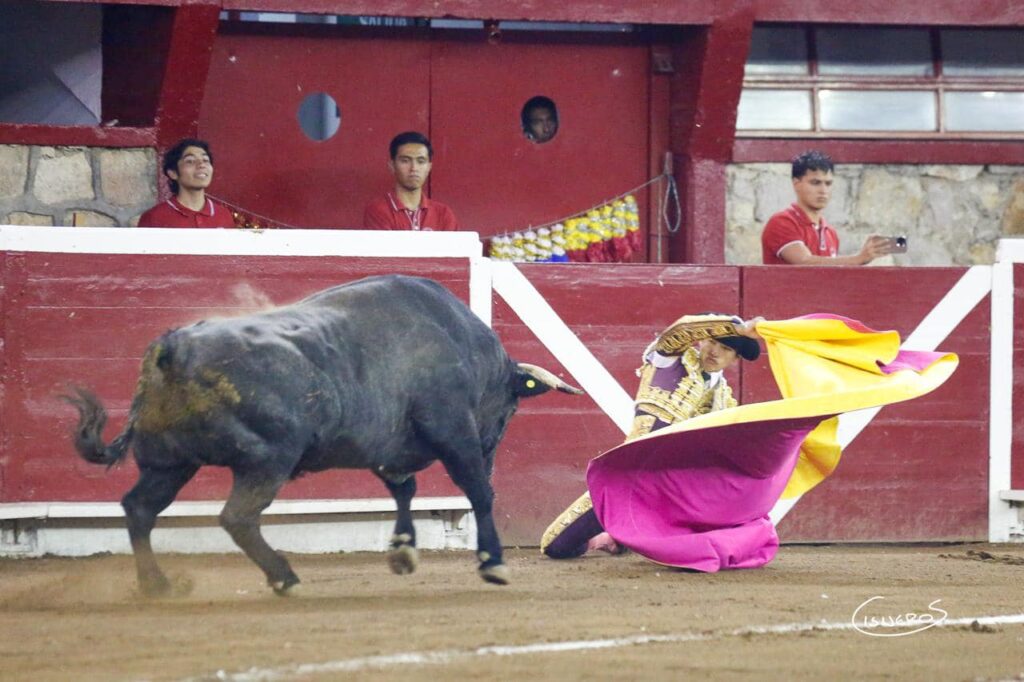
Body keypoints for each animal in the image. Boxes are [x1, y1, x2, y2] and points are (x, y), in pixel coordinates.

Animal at [64, 274, 581, 593]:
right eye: (509, 411)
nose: (495, 445)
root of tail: (172, 348)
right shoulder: (452, 430)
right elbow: (477, 490)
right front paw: (492, 562)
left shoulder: (389, 447)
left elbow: (405, 489)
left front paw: (402, 552)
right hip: (267, 459)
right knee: (237, 517)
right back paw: (284, 576)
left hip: (170, 463)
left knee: (140, 509)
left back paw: (157, 585)